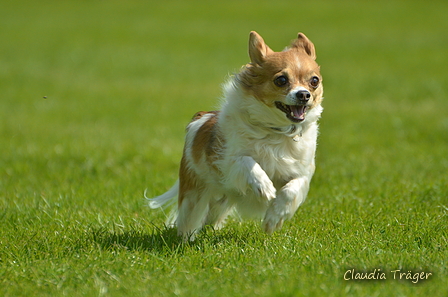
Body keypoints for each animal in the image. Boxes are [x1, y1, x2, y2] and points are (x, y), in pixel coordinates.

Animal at [149, 31, 324, 239]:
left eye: (314, 81)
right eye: (281, 80)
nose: (304, 94)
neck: (277, 131)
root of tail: (202, 116)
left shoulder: (303, 171)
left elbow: (292, 189)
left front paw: (274, 218)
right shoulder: (227, 162)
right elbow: (247, 161)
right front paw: (264, 186)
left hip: (221, 202)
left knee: (212, 217)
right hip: (195, 193)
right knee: (189, 219)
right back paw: (186, 239)